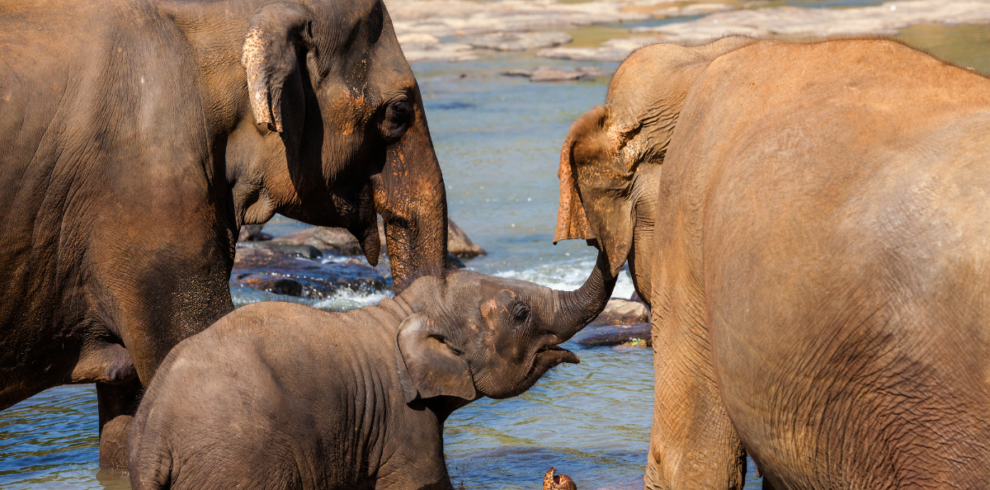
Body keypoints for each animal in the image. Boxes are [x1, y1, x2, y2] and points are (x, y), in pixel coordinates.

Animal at [127, 252, 616, 490]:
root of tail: (152, 441)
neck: (400, 310)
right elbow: (423, 485)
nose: (597, 239)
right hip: (239, 466)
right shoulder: (404, 422)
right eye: (519, 313)